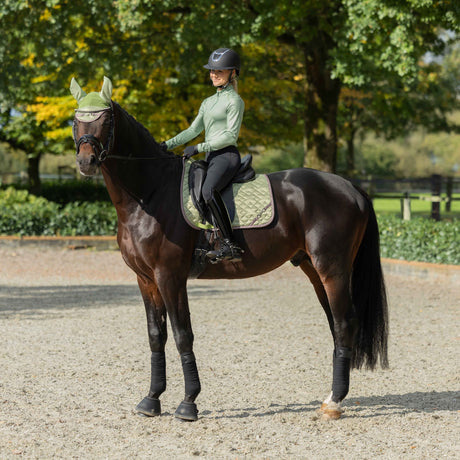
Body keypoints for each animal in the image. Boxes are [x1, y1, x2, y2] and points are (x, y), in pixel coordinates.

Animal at [72, 78, 388, 420]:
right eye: (76, 121)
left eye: (106, 120)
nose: (86, 162)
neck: (151, 194)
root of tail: (350, 187)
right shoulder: (146, 280)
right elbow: (156, 336)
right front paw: (151, 400)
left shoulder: (170, 276)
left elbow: (183, 335)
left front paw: (188, 403)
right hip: (314, 269)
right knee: (336, 324)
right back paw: (331, 396)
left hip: (333, 269)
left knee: (344, 323)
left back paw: (334, 403)